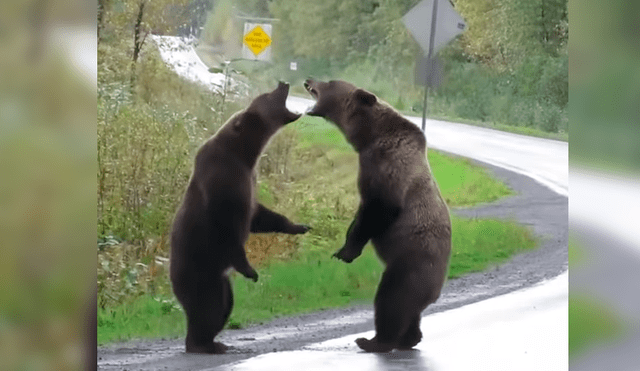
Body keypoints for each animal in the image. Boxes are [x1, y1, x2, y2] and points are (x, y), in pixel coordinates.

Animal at [170, 83, 310, 356]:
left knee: (225, 306)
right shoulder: (224, 183)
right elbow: (229, 227)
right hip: (198, 270)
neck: (244, 154)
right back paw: (203, 344)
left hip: (222, 281)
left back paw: (216, 341)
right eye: (267, 96)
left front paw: (299, 226)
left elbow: (260, 216)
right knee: (208, 307)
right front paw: (250, 270)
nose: (283, 83)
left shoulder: (250, 181)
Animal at [304, 79, 450, 354]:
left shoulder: (388, 167)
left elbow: (379, 209)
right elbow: (361, 213)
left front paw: (346, 252)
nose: (308, 80)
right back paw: (408, 339)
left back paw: (374, 341)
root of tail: (437, 288)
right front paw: (342, 248)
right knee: (411, 312)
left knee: (391, 300)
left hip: (409, 265)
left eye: (329, 82)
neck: (369, 137)